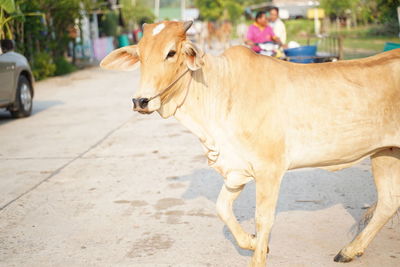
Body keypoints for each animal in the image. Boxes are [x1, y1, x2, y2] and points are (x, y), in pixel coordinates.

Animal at [101, 21, 400, 267]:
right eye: (140, 55)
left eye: (171, 53)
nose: (140, 101)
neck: (221, 91)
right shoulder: (236, 168)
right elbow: (222, 209)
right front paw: (255, 243)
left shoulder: (270, 169)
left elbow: (263, 218)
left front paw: (258, 252)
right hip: (385, 153)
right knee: (388, 203)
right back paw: (350, 250)